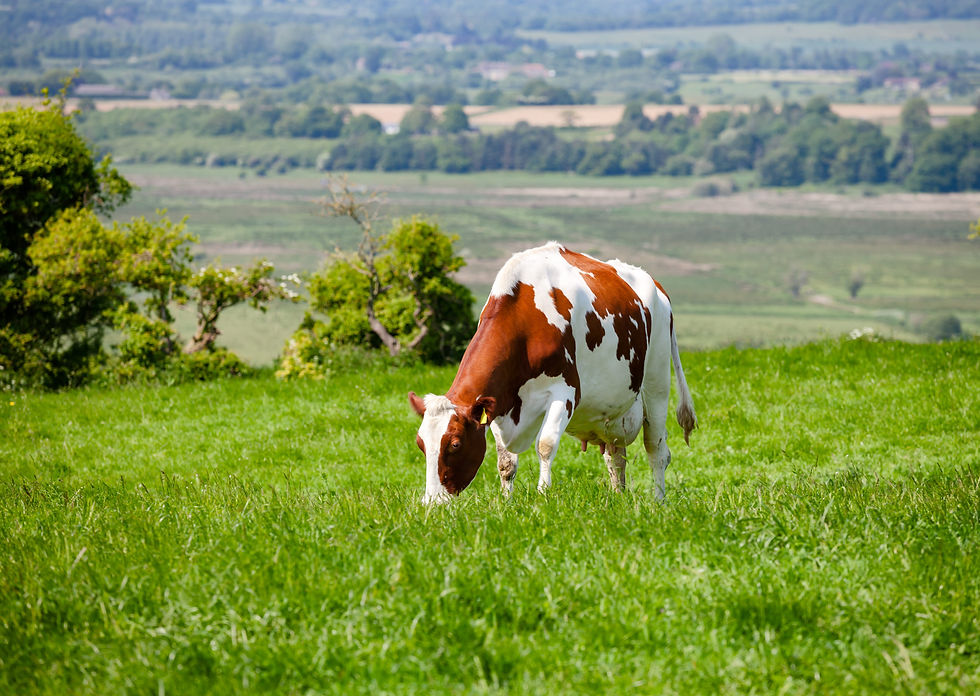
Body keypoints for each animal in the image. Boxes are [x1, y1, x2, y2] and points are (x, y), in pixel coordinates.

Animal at [408, 241, 696, 504]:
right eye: (420, 444)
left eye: (455, 444)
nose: (431, 502)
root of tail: (656, 285)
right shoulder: (498, 403)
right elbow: (505, 462)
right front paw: (506, 502)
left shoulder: (564, 392)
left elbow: (545, 445)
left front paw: (543, 495)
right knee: (616, 456)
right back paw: (618, 497)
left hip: (657, 382)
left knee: (656, 448)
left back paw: (658, 500)